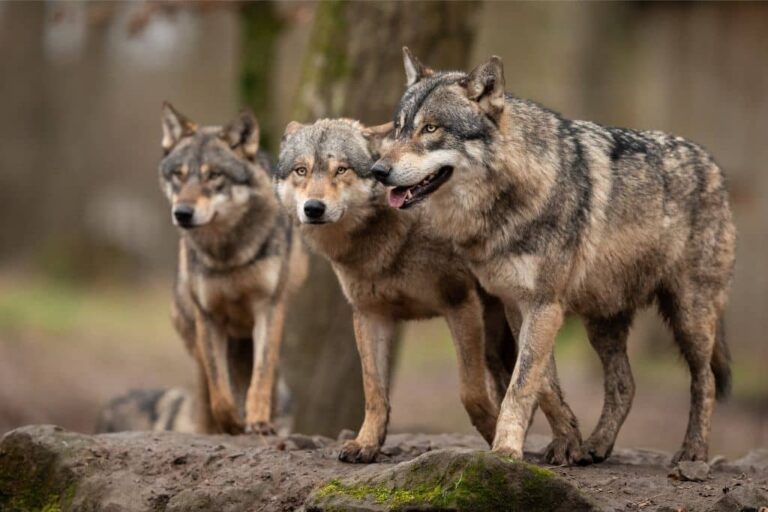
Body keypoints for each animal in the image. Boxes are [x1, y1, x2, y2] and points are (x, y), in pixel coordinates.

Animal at [159, 103, 307, 435]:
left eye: (214, 175)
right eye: (178, 175)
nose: (182, 213)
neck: (228, 255)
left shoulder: (268, 309)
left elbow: (260, 379)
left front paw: (258, 421)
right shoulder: (209, 317)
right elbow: (220, 395)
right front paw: (233, 425)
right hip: (198, 341)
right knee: (206, 393)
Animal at [275, 118, 581, 464]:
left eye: (341, 170)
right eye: (301, 170)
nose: (313, 208)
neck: (390, 238)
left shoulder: (459, 304)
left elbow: (470, 393)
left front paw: (497, 444)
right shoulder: (370, 315)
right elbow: (374, 391)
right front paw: (367, 443)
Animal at [371, 48, 736, 465]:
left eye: (431, 129)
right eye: (399, 128)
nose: (378, 170)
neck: (507, 198)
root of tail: (713, 164)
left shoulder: (545, 305)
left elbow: (520, 385)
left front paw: (506, 451)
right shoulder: (517, 305)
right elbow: (542, 382)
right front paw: (567, 441)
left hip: (689, 316)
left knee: (705, 380)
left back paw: (692, 454)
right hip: (603, 322)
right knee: (625, 384)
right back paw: (596, 445)